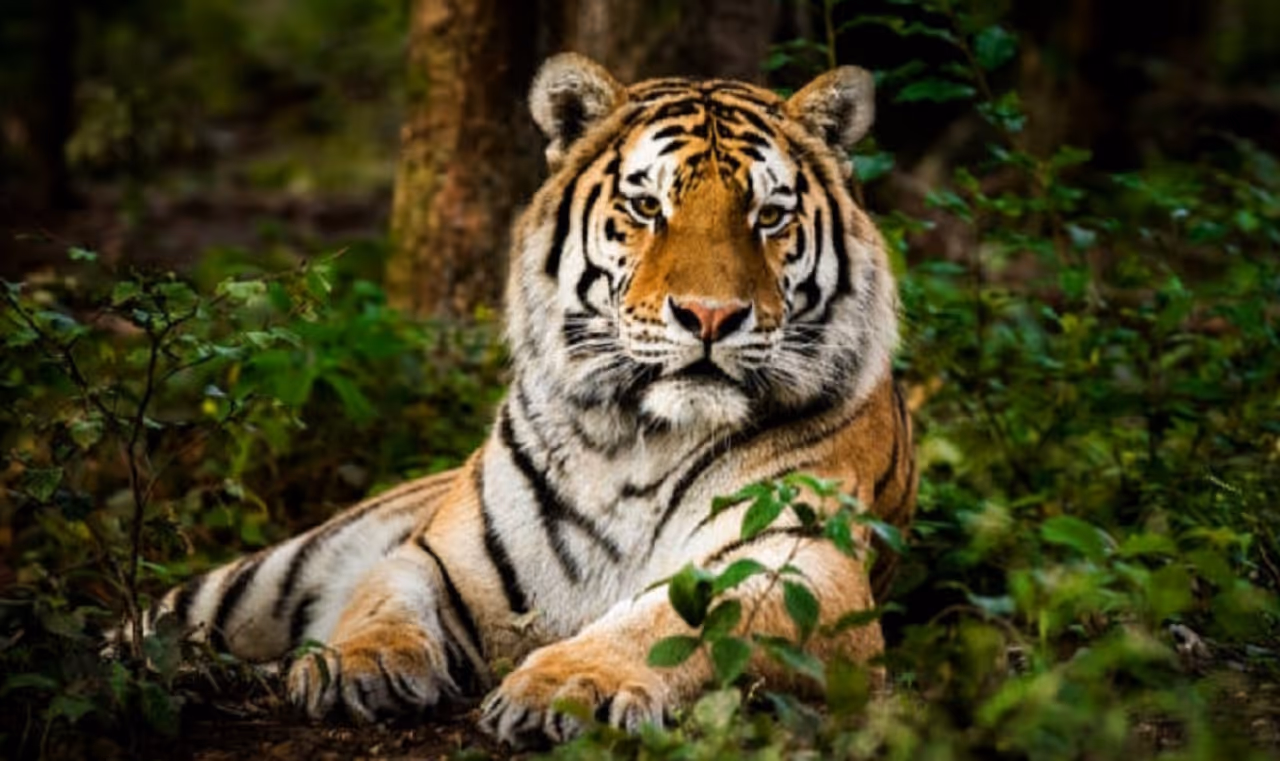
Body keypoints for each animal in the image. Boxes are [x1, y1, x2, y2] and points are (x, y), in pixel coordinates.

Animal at [135, 53, 917, 746]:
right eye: (647, 206)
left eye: (769, 216)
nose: (710, 316)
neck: (638, 439)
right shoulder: (441, 555)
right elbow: (382, 597)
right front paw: (355, 664)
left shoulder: (798, 565)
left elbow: (672, 622)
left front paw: (569, 685)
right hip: (262, 577)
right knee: (154, 621)